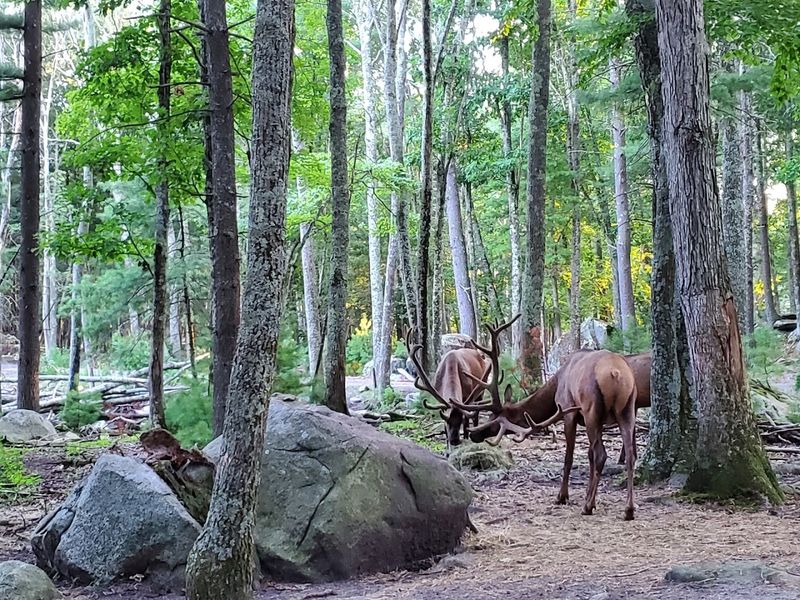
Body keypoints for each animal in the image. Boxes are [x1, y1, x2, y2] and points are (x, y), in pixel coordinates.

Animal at [453, 323, 639, 520]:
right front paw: (590, 497)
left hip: (592, 410)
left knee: (601, 455)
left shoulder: (568, 411)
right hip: (627, 410)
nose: (474, 434)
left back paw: (588, 507)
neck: (556, 383)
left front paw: (563, 496)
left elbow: (569, 457)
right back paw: (628, 509)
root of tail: (616, 374)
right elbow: (588, 456)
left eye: (494, 421)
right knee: (630, 454)